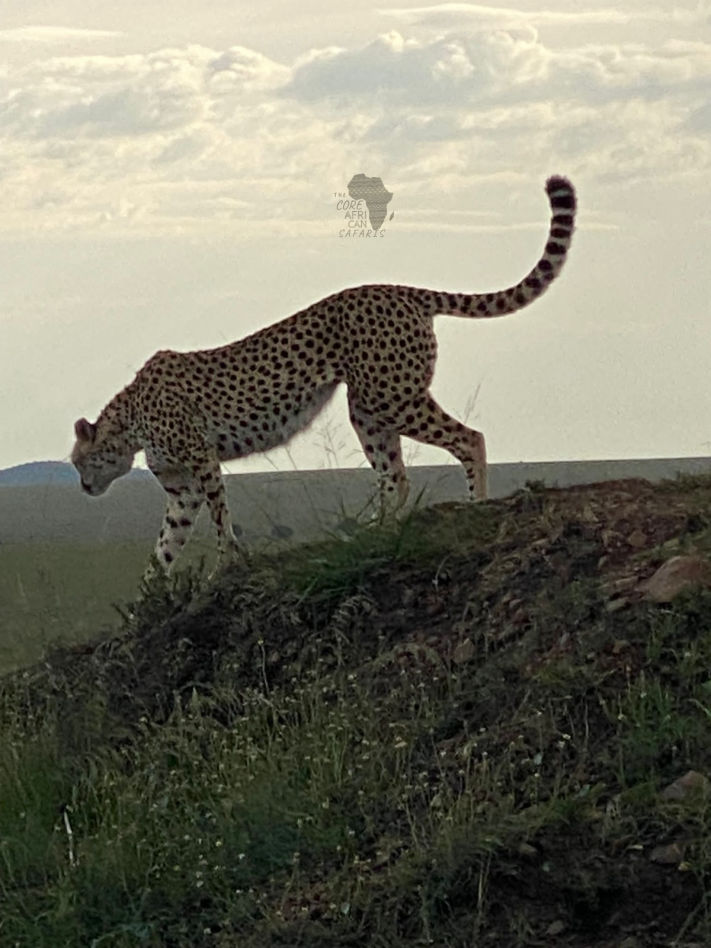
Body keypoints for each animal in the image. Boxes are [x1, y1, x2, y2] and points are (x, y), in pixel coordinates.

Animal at [72, 175, 576, 576]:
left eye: (79, 462)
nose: (83, 487)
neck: (130, 420)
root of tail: (398, 289)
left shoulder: (202, 461)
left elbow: (220, 519)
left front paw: (225, 565)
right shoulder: (181, 491)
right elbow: (164, 546)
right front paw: (147, 600)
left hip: (391, 397)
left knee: (469, 438)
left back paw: (474, 506)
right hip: (369, 408)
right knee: (395, 475)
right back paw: (376, 531)